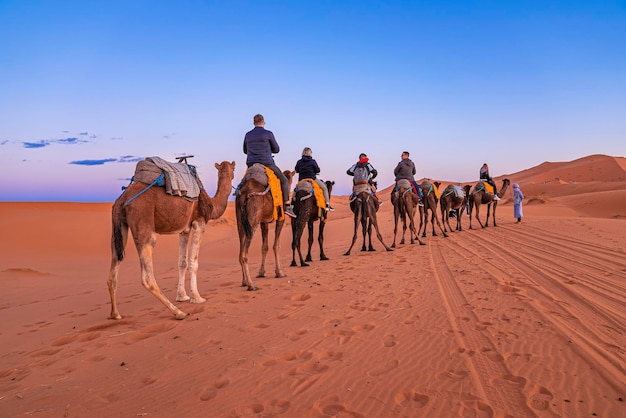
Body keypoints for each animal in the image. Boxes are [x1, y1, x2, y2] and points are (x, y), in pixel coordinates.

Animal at [107, 160, 234, 320]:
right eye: (233, 169)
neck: (211, 203)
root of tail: (122, 200)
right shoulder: (199, 223)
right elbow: (193, 262)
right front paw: (197, 298)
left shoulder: (184, 230)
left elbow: (182, 262)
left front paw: (182, 296)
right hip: (143, 224)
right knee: (147, 277)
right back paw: (179, 312)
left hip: (119, 228)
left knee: (113, 270)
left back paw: (115, 314)